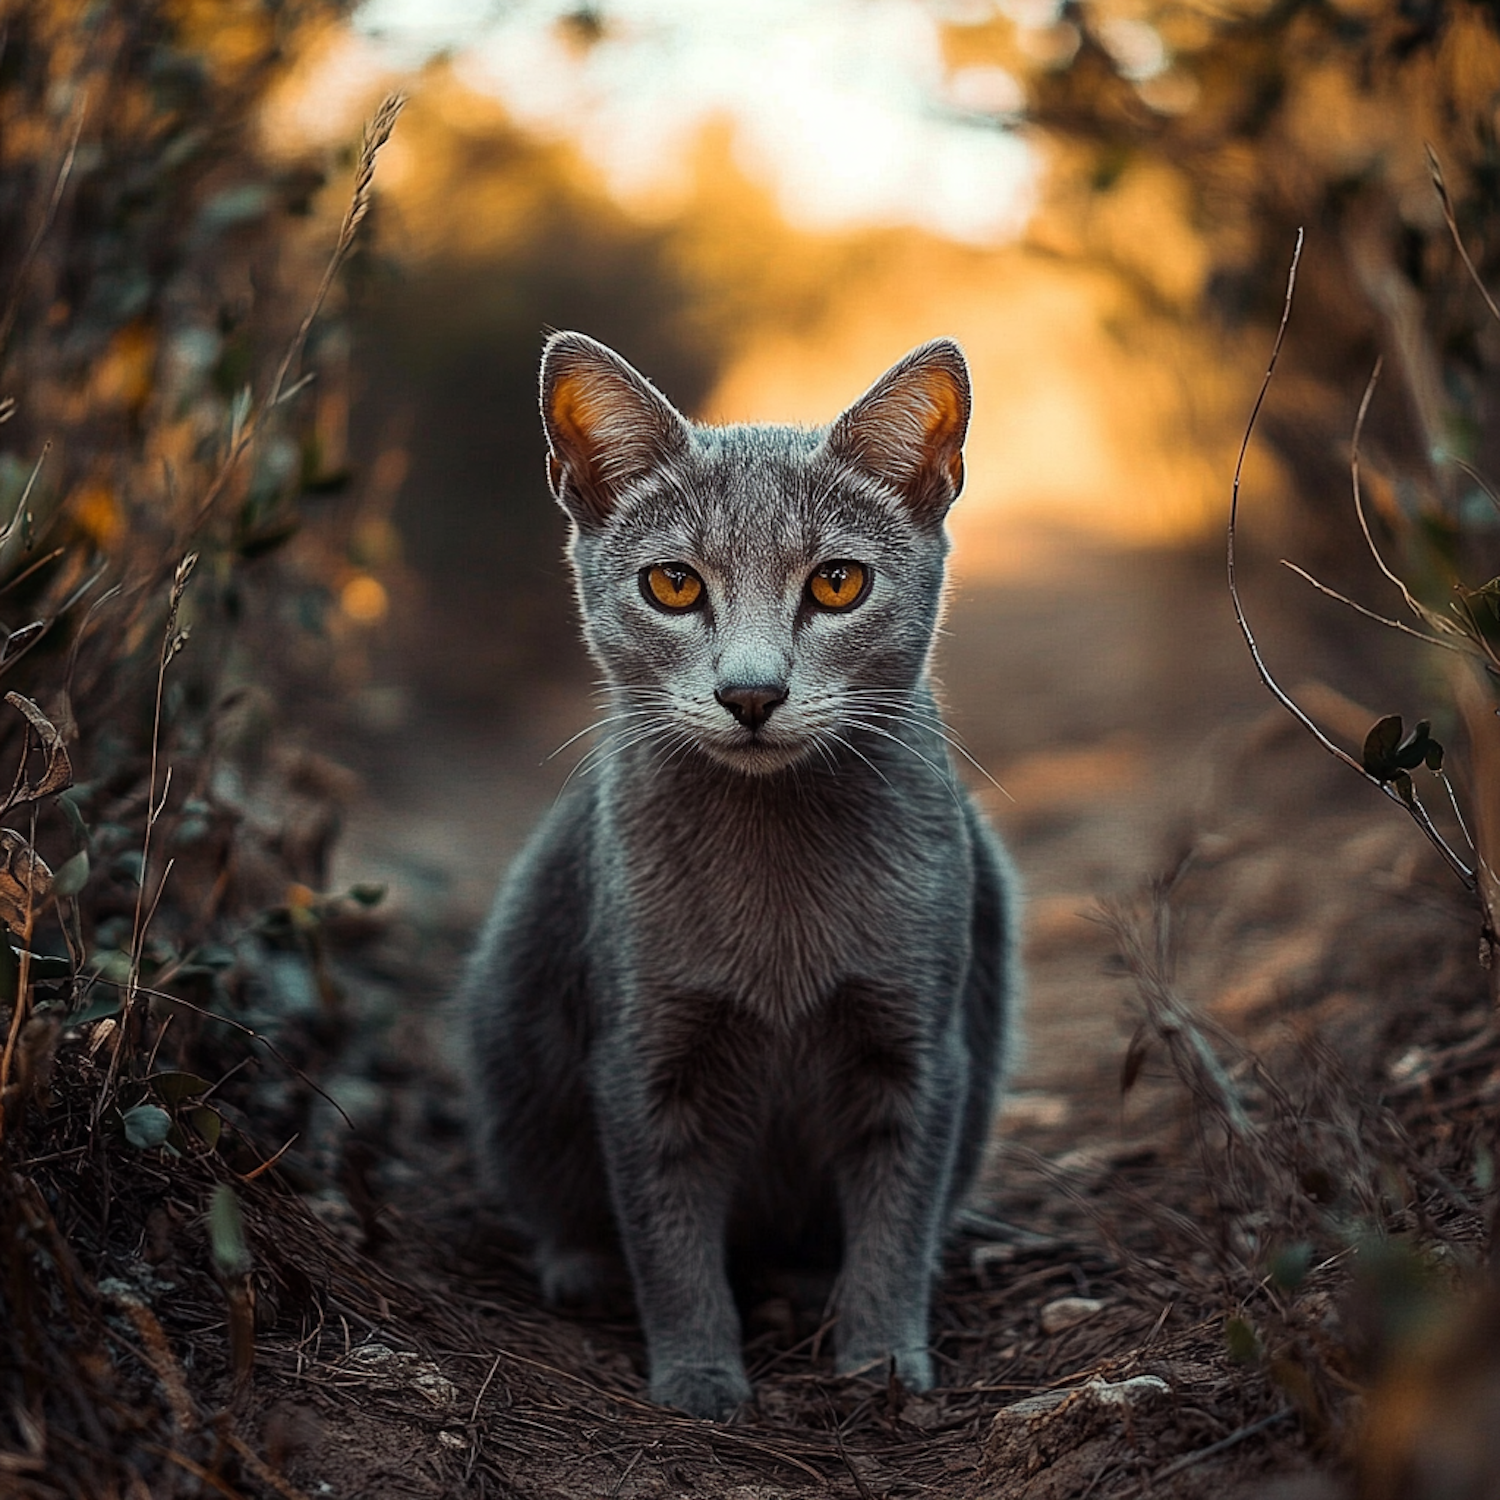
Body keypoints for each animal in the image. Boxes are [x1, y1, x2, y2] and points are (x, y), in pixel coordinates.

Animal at [456, 334, 1020, 1422]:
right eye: (674, 586)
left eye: (837, 584)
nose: (751, 692)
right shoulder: (643, 1052)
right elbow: (669, 1232)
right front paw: (699, 1378)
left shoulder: (918, 1044)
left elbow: (897, 1211)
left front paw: (882, 1358)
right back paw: (584, 1270)